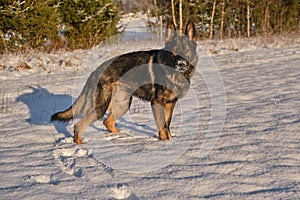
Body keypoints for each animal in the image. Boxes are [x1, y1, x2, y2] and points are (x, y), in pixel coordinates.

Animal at [50, 21, 198, 144]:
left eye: (187, 50)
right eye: (173, 52)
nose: (180, 64)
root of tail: (95, 72)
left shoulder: (170, 104)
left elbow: (167, 125)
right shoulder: (157, 103)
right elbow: (163, 127)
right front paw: (166, 143)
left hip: (123, 104)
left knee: (107, 122)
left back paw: (122, 136)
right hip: (101, 107)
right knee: (79, 125)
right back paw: (80, 145)